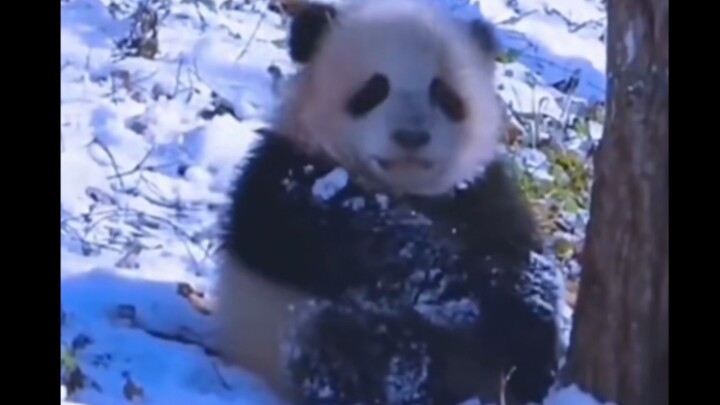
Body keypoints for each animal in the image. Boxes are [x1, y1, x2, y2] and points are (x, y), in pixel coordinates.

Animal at [213, 0, 565, 404]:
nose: (411, 137)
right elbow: (341, 240)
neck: (400, 189)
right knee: (347, 346)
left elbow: (521, 273)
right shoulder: (289, 180)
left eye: (445, 94)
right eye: (374, 89)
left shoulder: (479, 194)